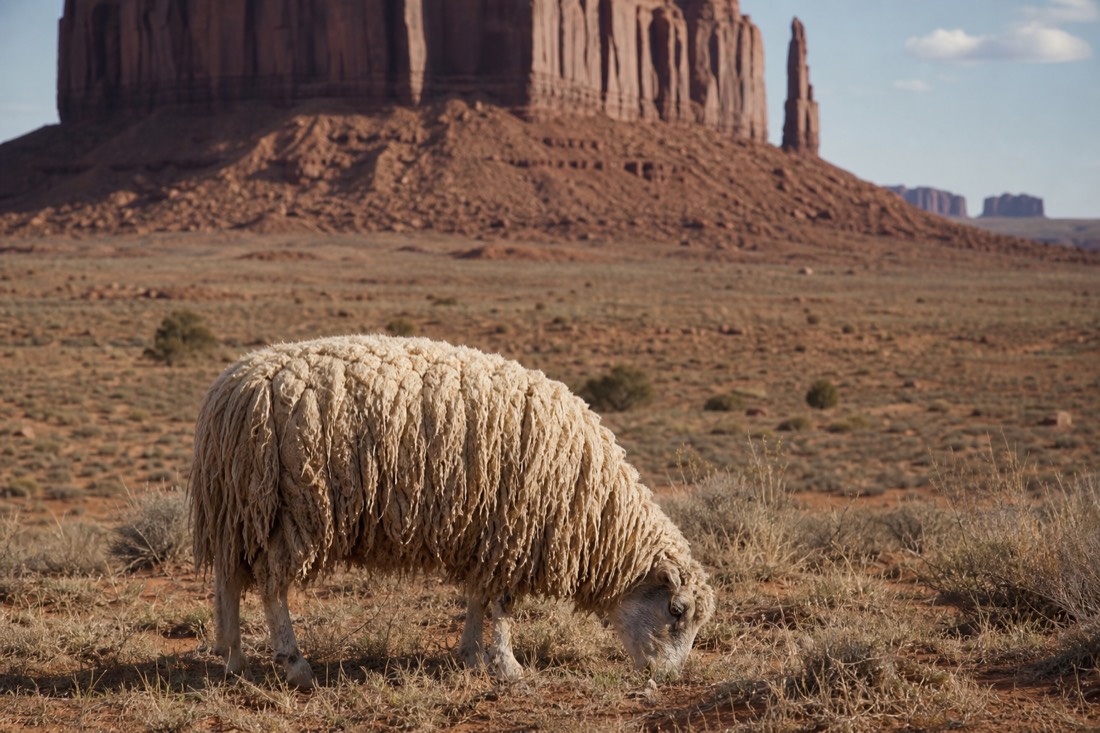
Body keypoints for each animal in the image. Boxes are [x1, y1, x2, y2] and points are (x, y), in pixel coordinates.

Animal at [189, 334, 715, 688]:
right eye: (676, 611)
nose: (667, 678)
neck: (595, 503)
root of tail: (233, 390)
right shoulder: (511, 530)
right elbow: (501, 605)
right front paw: (507, 666)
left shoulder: (485, 534)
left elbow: (478, 599)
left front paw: (471, 655)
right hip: (298, 509)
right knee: (271, 584)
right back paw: (294, 664)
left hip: (240, 507)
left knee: (228, 581)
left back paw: (232, 658)